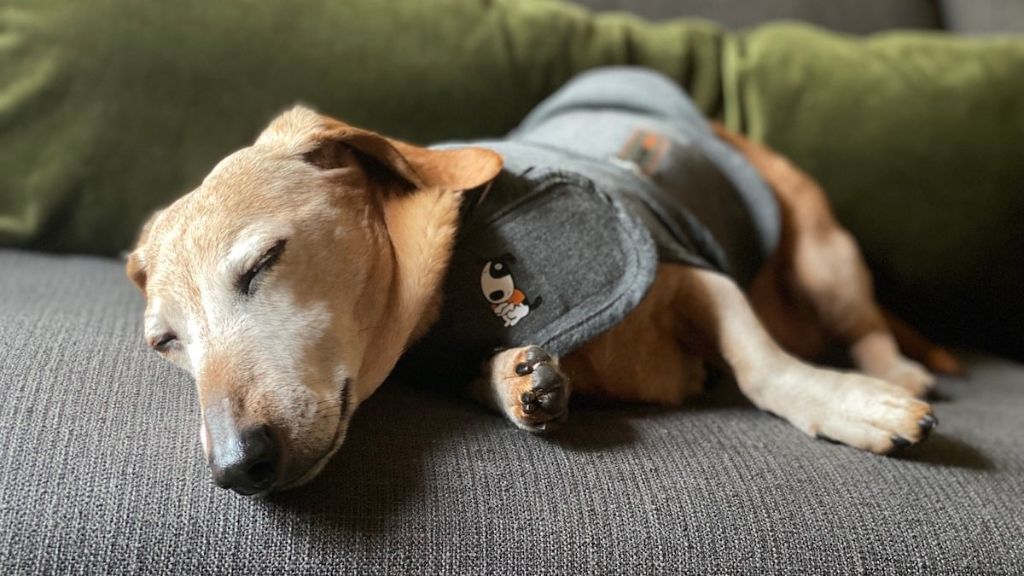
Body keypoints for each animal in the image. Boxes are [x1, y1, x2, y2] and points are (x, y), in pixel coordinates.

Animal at [123, 67, 954, 496]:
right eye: (166, 342)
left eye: (264, 261)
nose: (237, 469)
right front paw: (514, 381)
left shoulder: (686, 265)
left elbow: (762, 365)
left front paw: (843, 403)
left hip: (825, 256)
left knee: (863, 324)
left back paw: (896, 370)